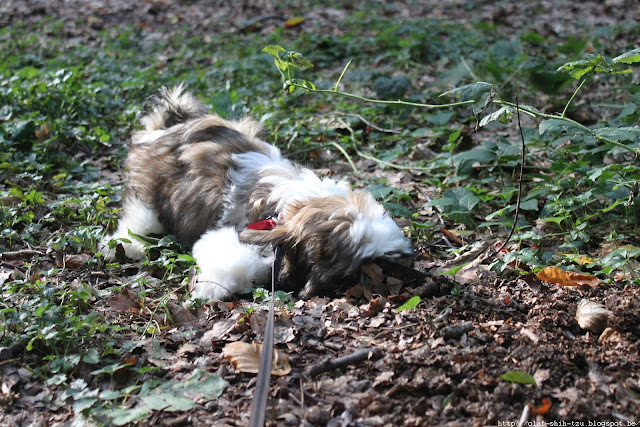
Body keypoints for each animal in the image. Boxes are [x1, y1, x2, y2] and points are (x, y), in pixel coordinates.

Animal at [100, 86, 410, 300]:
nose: (374, 279)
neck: (284, 213)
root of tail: (168, 126)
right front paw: (209, 287)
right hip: (149, 192)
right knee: (141, 218)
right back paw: (124, 244)